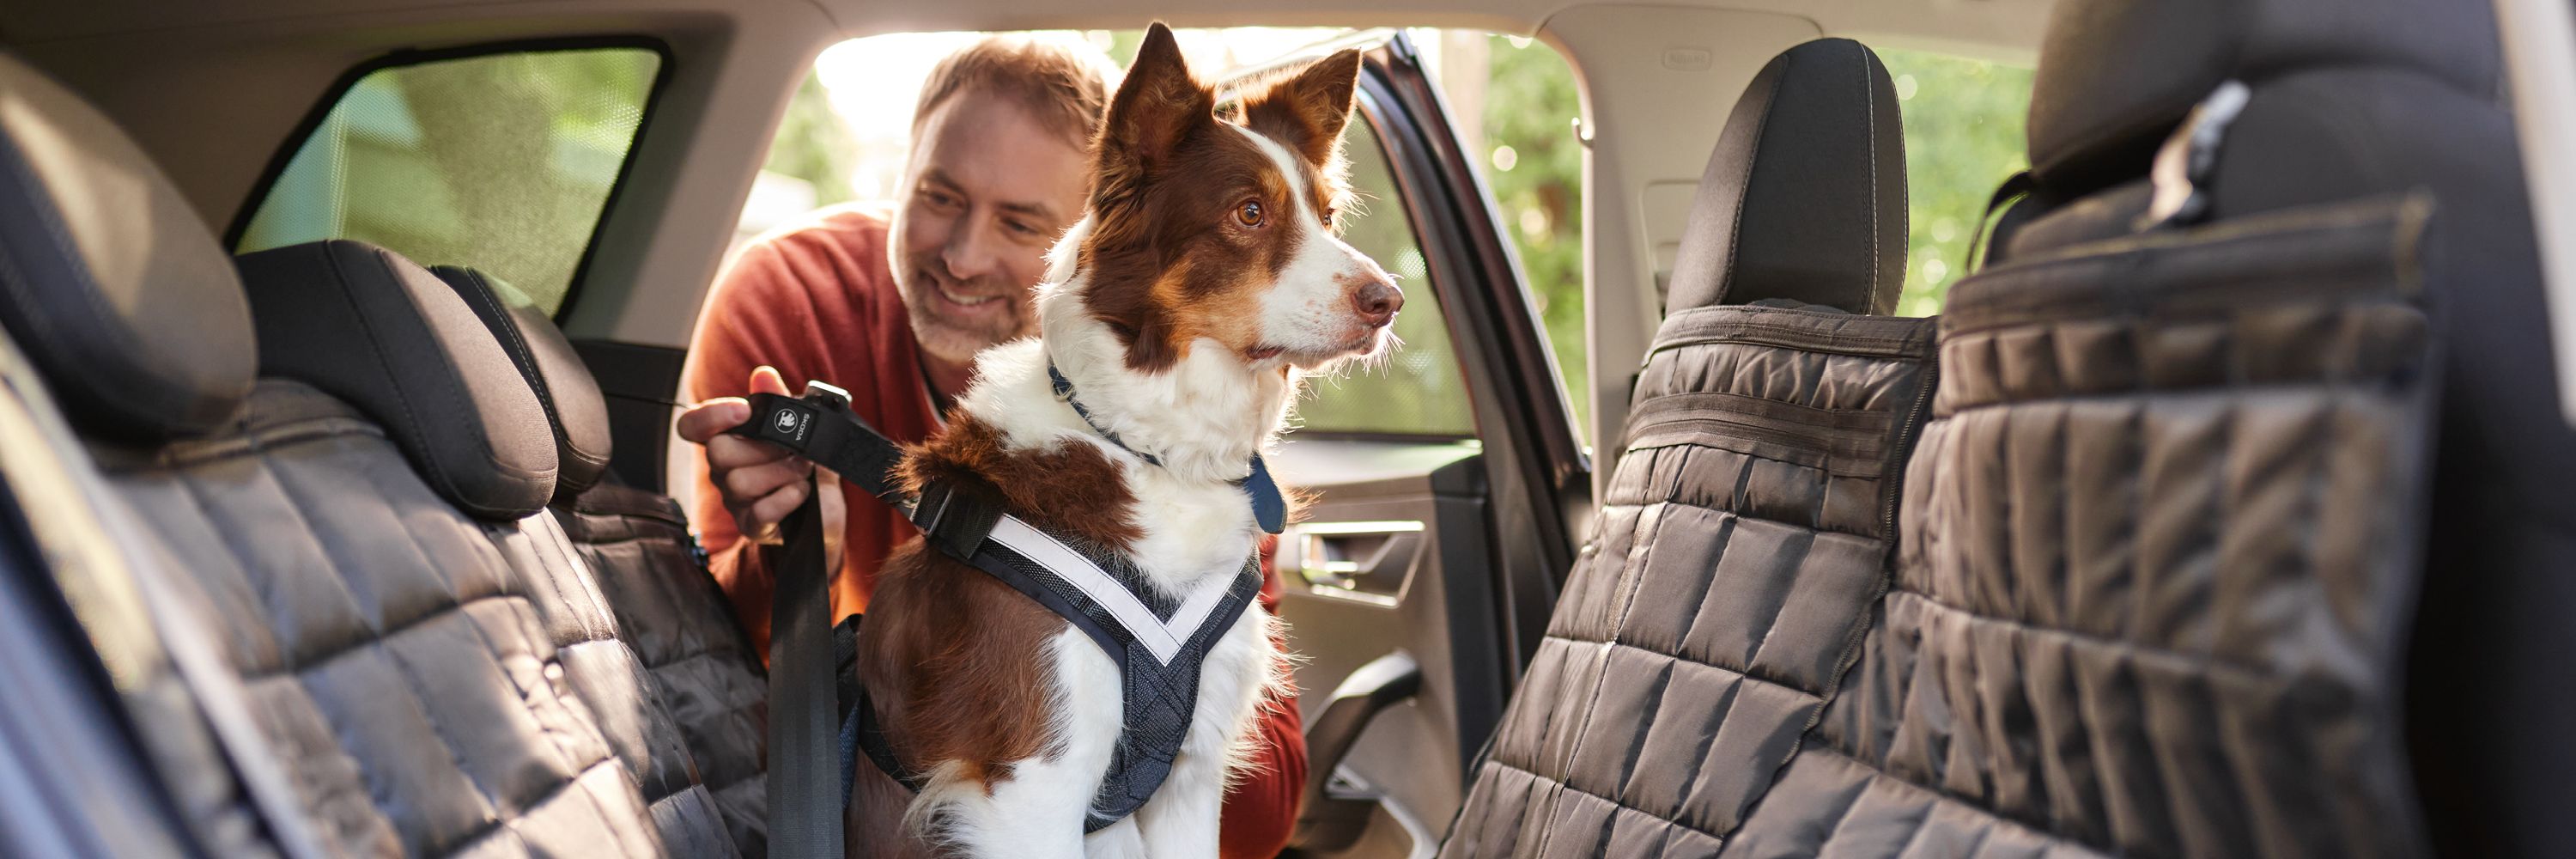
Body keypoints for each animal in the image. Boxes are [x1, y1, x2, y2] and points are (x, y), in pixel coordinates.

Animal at [845, 23, 1401, 850]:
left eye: (1326, 217)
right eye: (1248, 213)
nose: (1389, 301)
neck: (1155, 450)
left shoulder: (1190, 778)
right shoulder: (1031, 781)